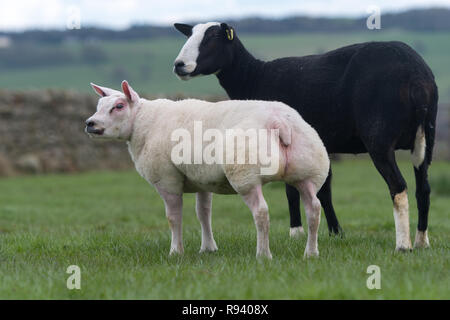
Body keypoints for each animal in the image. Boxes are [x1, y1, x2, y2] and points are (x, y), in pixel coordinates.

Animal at [86, 81, 328, 258]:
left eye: (118, 106)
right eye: (99, 105)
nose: (90, 123)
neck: (143, 123)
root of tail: (280, 123)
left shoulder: (166, 179)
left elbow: (173, 217)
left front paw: (176, 252)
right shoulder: (202, 179)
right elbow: (203, 213)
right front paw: (208, 248)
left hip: (246, 173)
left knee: (261, 212)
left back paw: (263, 255)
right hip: (308, 171)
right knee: (314, 208)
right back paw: (311, 253)